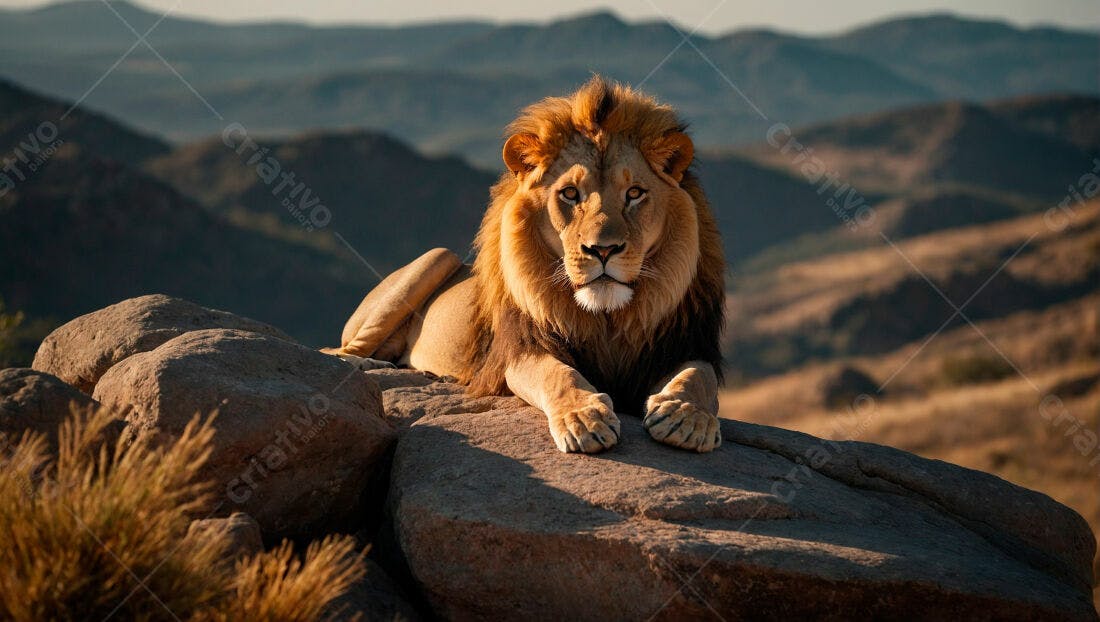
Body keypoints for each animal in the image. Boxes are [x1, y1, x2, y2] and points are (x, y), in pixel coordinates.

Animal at [327, 76, 725, 454]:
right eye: (570, 194)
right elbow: (558, 374)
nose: (602, 250)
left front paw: (686, 417)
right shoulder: (521, 350)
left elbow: (697, 378)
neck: (607, 316)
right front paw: (583, 419)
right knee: (340, 352)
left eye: (635, 194)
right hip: (438, 257)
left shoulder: (684, 343)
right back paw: (374, 366)